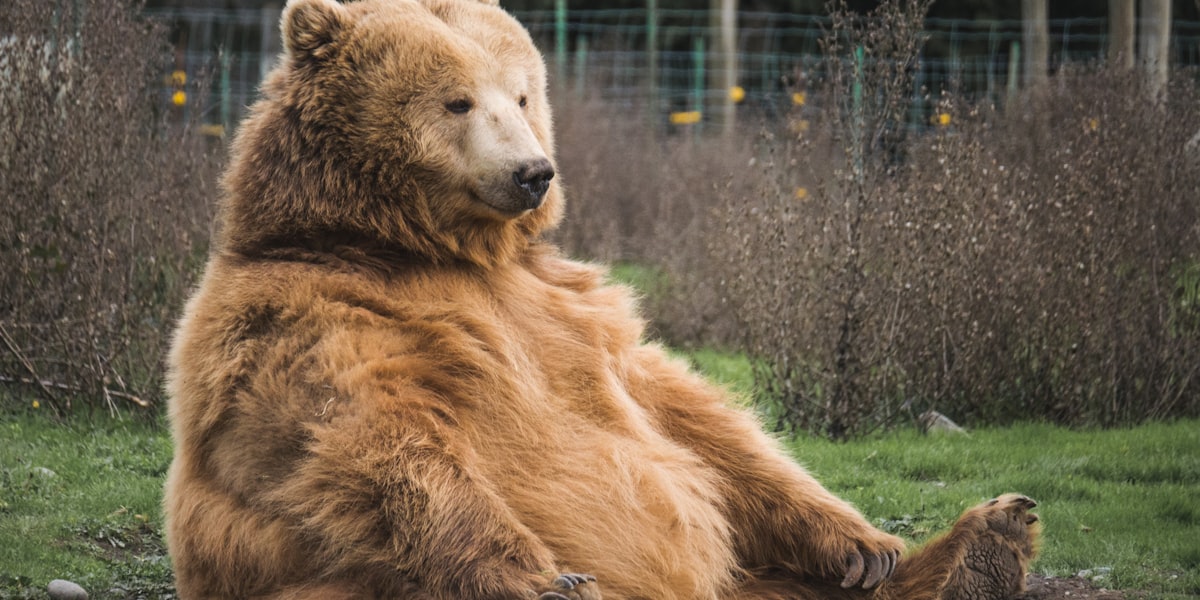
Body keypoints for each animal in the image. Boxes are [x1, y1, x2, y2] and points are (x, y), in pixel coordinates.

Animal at [162, 0, 1041, 598]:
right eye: (455, 100)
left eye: (521, 93)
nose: (533, 172)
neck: (417, 246)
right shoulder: (308, 317)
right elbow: (372, 439)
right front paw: (547, 580)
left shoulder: (568, 306)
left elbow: (688, 414)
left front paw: (864, 543)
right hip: (329, 583)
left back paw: (987, 540)